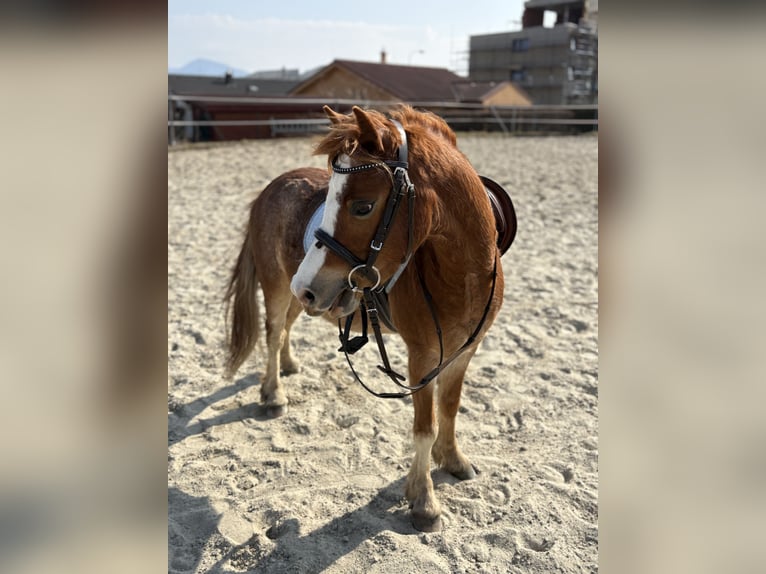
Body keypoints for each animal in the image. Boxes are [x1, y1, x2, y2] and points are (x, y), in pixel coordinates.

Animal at [225, 105, 510, 532]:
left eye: (362, 206)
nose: (307, 284)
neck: (462, 274)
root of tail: (272, 187)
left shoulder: (465, 351)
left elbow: (450, 408)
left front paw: (453, 460)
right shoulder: (422, 358)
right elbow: (424, 426)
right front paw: (423, 500)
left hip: (299, 297)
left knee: (288, 326)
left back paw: (290, 366)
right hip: (279, 287)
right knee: (274, 334)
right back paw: (274, 393)